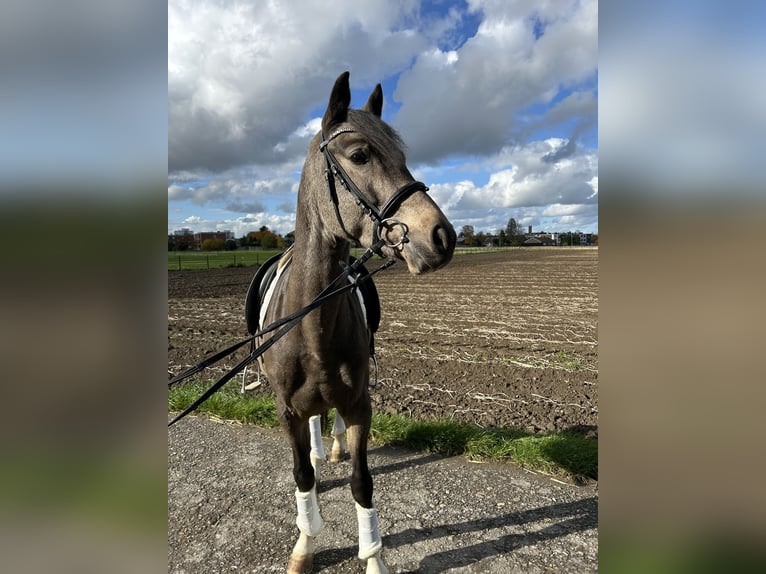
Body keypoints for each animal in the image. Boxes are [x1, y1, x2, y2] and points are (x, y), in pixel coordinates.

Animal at [257, 71, 455, 574]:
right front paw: (305, 544)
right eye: (360, 155)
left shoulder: (359, 405)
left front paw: (373, 559)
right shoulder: (286, 410)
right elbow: (302, 476)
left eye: (403, 157)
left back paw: (332, 445)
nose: (441, 237)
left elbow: (362, 482)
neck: (312, 325)